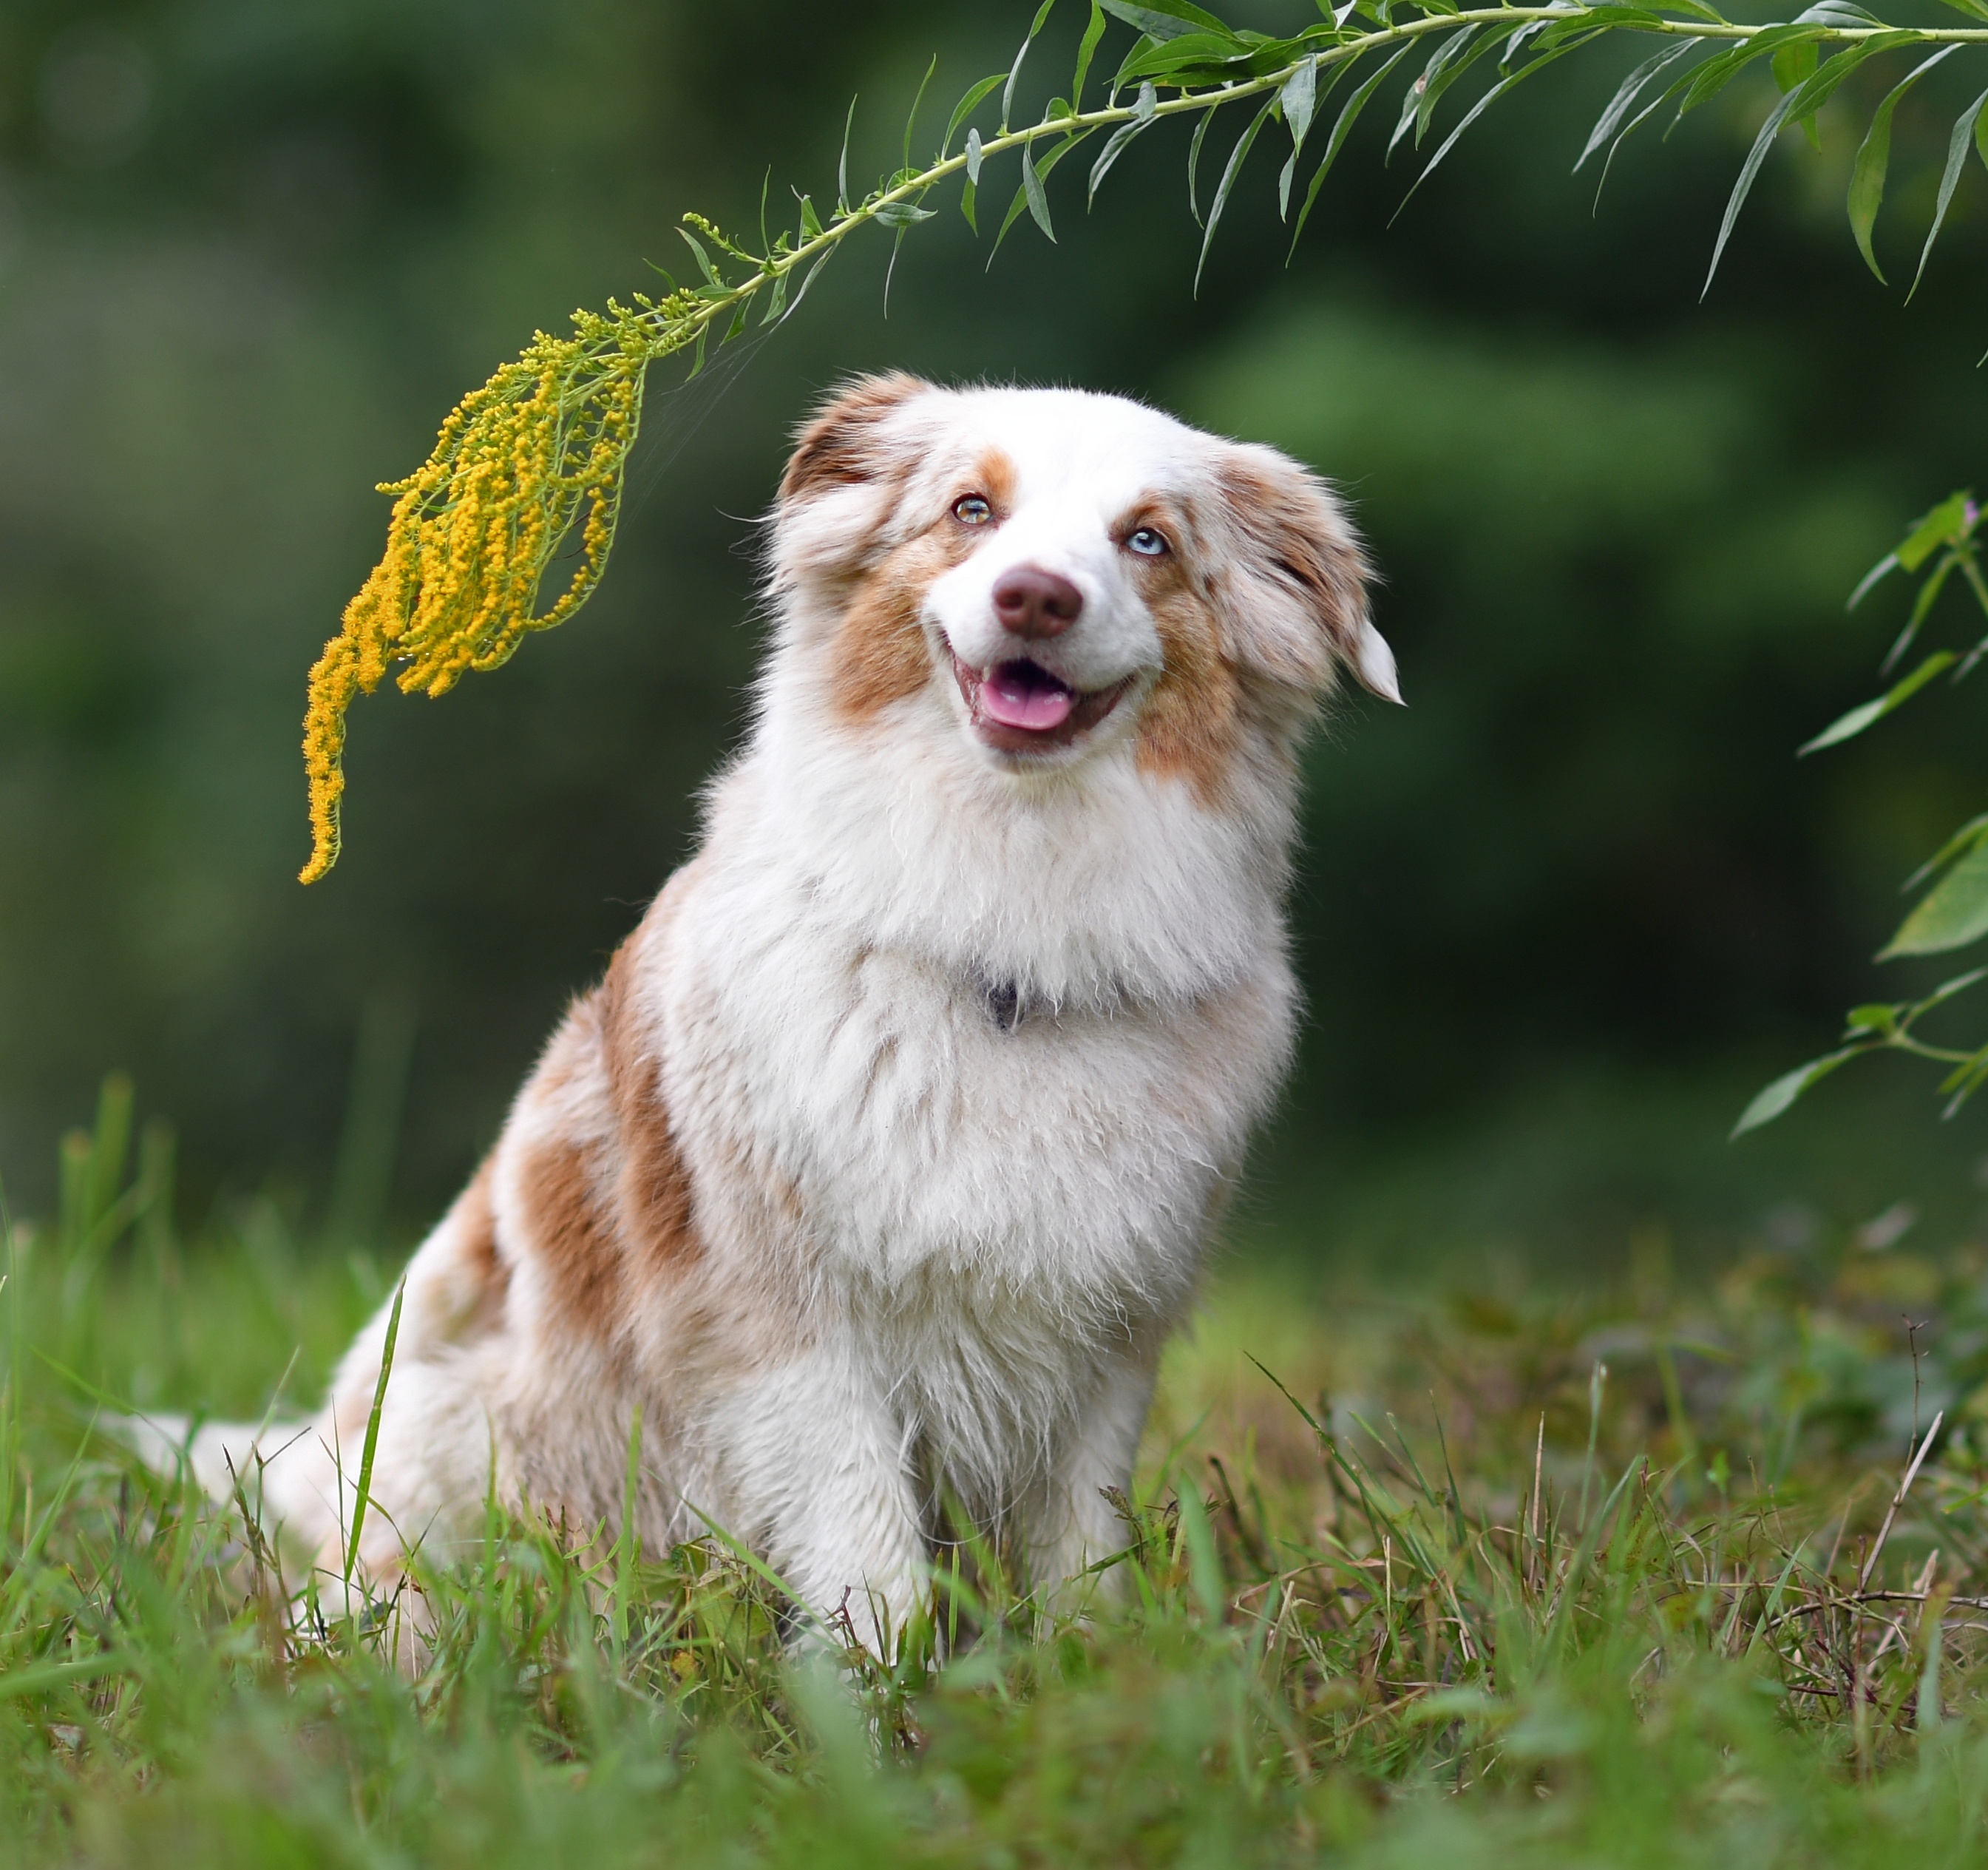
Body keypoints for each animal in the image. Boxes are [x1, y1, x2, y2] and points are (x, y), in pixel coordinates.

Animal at [143, 376, 1400, 1647]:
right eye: (972, 509)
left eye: (1148, 540)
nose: (1035, 595)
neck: (1004, 931)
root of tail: (314, 1463)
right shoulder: (782, 1312)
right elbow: (864, 1538)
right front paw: (879, 1681)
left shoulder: (1112, 1330)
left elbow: (1077, 1544)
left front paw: (1094, 1663)